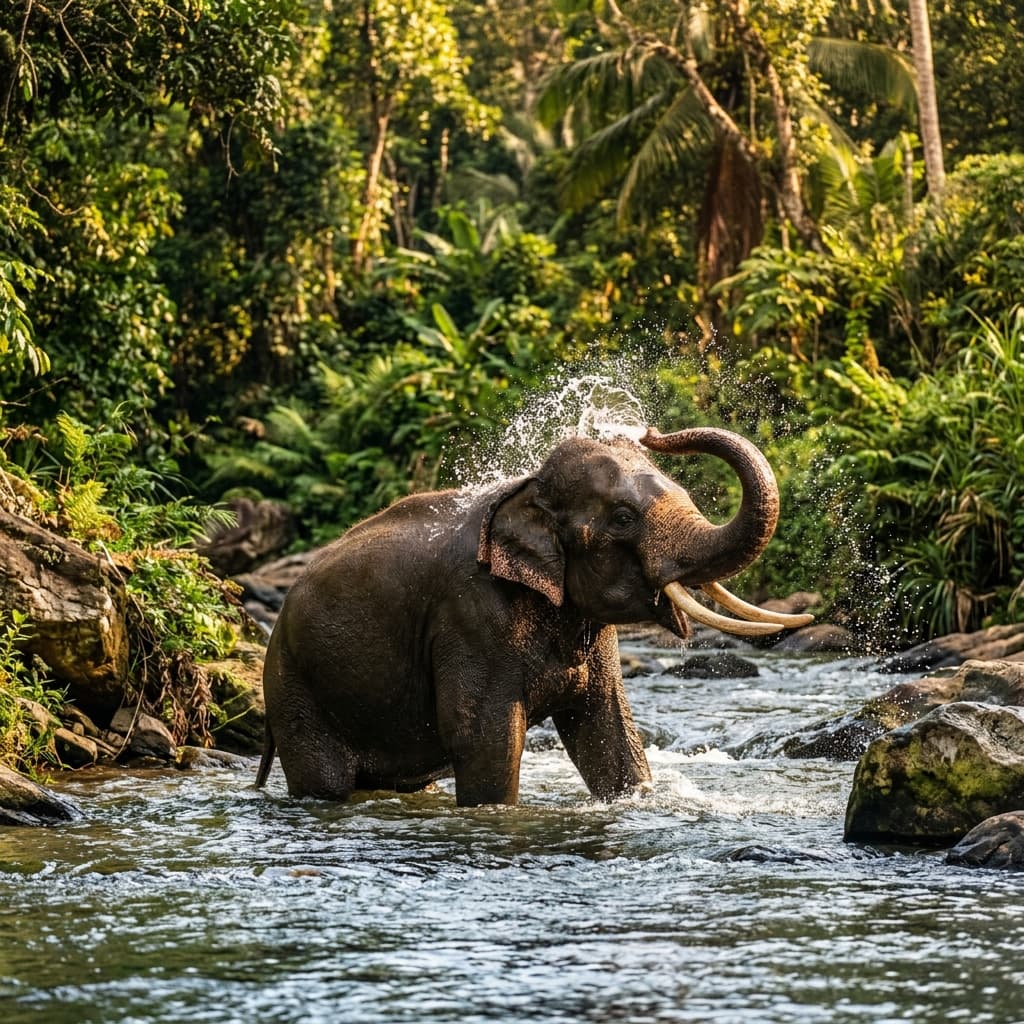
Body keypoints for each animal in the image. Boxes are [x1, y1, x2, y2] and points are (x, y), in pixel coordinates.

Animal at [255, 426, 812, 807]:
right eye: (623, 518)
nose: (651, 432)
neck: (526, 490)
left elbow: (609, 731)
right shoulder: (471, 616)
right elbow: (484, 738)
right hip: (295, 690)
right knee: (324, 781)